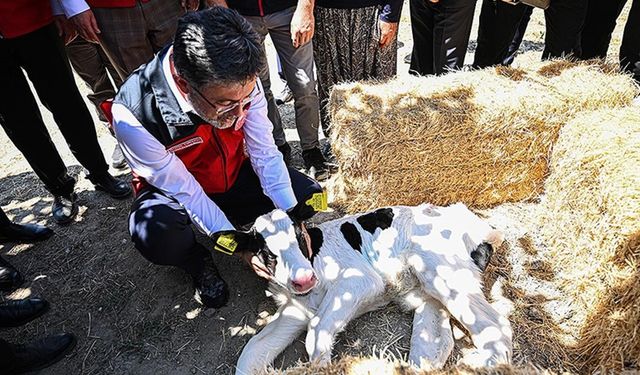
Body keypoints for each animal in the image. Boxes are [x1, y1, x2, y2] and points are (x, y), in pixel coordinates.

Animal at [235, 204, 510, 374]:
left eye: (300, 237)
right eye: (266, 251)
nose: (303, 279)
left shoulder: (360, 280)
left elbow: (317, 330)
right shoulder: (295, 310)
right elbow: (251, 351)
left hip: (444, 272)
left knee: (495, 325)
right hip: (429, 291)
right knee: (435, 344)